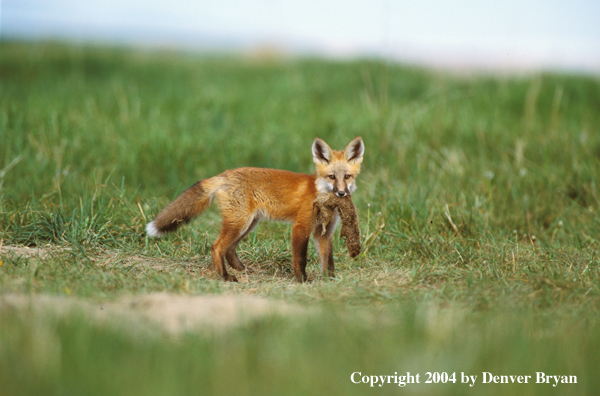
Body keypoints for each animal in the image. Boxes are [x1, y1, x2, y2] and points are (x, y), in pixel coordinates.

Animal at [145, 137, 364, 282]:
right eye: (331, 177)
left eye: (347, 177)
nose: (341, 194)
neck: (318, 191)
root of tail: (224, 174)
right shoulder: (301, 226)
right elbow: (300, 258)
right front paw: (302, 280)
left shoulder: (323, 233)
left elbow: (328, 261)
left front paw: (330, 281)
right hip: (240, 222)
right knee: (216, 247)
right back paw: (225, 277)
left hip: (249, 223)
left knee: (229, 249)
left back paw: (240, 269)